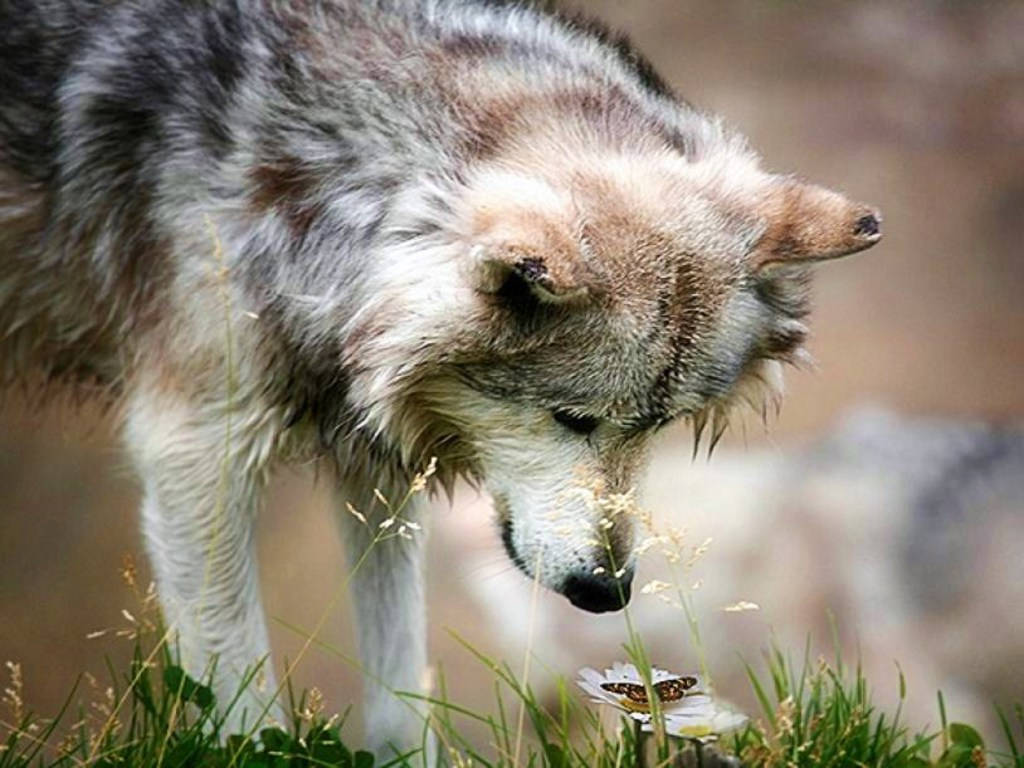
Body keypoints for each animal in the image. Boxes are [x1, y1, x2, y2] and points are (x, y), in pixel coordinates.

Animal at [0, 0, 881, 756]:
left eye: (657, 424)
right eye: (572, 418)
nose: (607, 591)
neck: (327, 187)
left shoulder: (376, 466)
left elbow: (398, 689)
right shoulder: (194, 454)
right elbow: (243, 704)